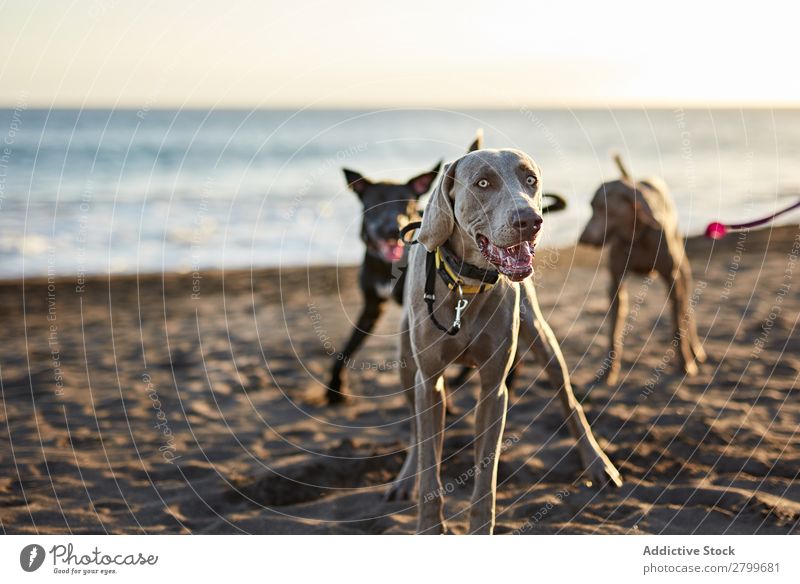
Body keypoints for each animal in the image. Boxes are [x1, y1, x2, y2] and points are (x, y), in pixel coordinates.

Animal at [390, 146, 620, 532]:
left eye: (531, 180)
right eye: (483, 183)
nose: (529, 221)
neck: (466, 285)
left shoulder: (494, 386)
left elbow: (486, 473)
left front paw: (481, 528)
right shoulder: (429, 379)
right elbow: (429, 462)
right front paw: (429, 526)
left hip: (541, 335)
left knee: (568, 399)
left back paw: (598, 463)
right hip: (406, 362)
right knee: (416, 430)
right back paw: (405, 478)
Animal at [580, 154, 704, 384]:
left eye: (604, 208)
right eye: (591, 206)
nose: (582, 238)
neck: (635, 236)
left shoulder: (672, 279)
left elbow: (678, 325)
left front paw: (686, 363)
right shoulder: (615, 284)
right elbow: (613, 330)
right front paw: (610, 371)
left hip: (683, 268)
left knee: (686, 309)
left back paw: (696, 350)